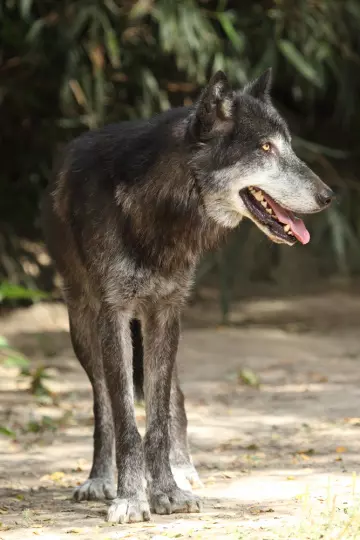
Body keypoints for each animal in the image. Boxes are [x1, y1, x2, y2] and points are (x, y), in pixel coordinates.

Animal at [43, 68, 334, 524]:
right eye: (265, 148)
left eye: (288, 146)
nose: (328, 196)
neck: (160, 210)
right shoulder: (113, 314)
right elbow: (124, 419)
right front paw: (130, 497)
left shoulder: (167, 312)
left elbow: (159, 417)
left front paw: (166, 490)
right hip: (83, 326)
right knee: (103, 403)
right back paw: (100, 479)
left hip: (160, 331)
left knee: (172, 397)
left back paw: (182, 469)